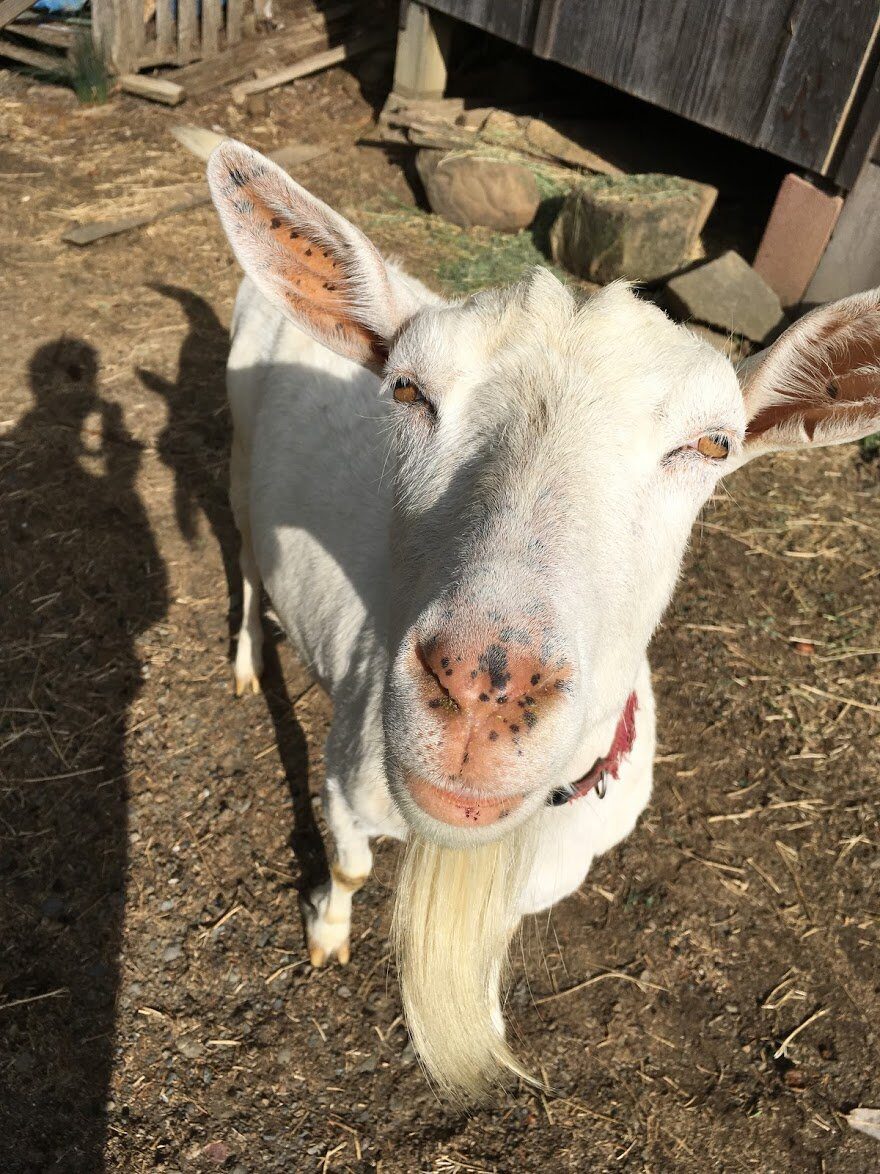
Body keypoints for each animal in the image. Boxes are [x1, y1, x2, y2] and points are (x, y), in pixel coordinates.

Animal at [207, 141, 880, 1101]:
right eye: (406, 389)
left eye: (714, 444)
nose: (482, 691)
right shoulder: (345, 776)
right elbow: (349, 864)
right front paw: (326, 938)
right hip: (236, 446)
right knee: (245, 559)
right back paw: (246, 661)